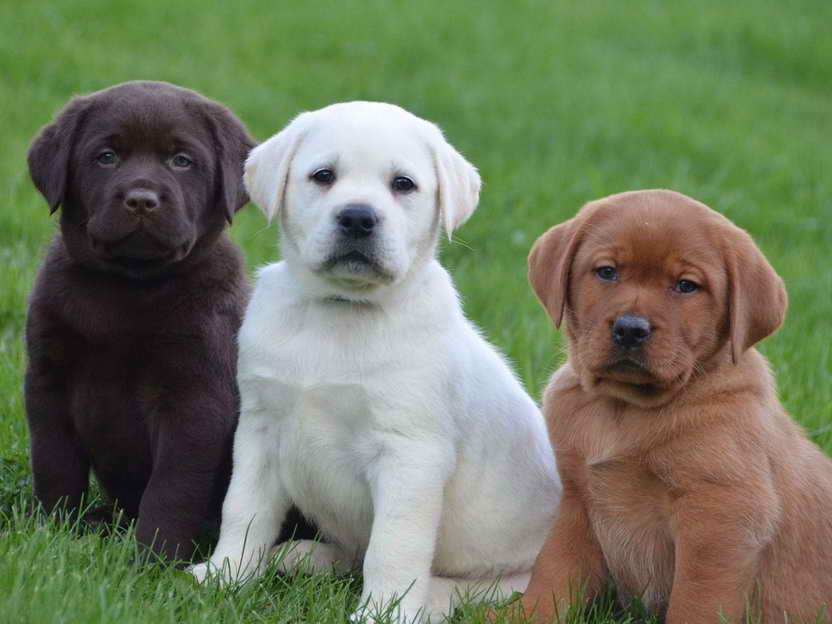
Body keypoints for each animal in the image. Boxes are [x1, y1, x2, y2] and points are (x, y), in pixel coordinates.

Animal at [192, 100, 564, 620]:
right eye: (323, 176)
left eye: (403, 184)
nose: (357, 218)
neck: (340, 312)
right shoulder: (260, 428)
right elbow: (243, 509)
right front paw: (226, 575)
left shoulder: (410, 454)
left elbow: (393, 546)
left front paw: (382, 612)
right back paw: (305, 556)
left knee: (482, 589)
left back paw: (428, 599)